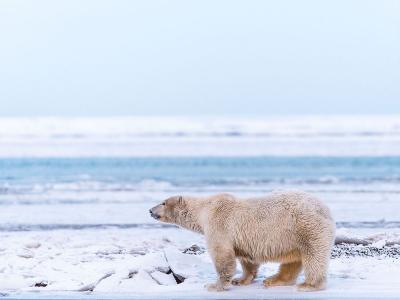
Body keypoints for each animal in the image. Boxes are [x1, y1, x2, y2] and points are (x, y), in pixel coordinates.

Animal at [148, 191, 336, 292]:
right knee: (293, 259)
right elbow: (247, 259)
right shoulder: (241, 239)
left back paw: (309, 284)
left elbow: (222, 255)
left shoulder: (218, 223)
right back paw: (274, 280)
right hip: (293, 237)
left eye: (163, 202)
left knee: (313, 256)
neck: (204, 209)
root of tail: (326, 209)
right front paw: (240, 280)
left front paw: (215, 285)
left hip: (306, 227)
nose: (150, 210)